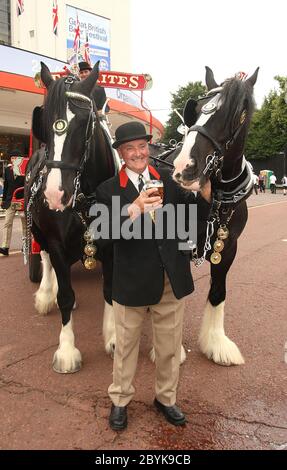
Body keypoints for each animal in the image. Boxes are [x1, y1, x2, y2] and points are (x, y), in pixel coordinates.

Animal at [24, 62, 117, 372]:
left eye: (86, 121)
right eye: (44, 120)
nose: (55, 195)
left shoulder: (112, 246)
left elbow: (109, 291)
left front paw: (113, 338)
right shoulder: (56, 243)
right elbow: (65, 295)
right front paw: (66, 351)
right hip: (37, 231)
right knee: (45, 260)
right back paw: (45, 294)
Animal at [172, 67, 260, 368]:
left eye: (237, 115)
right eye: (197, 109)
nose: (184, 167)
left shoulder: (229, 245)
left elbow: (218, 291)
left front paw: (216, 344)